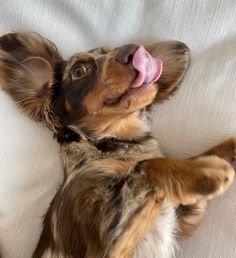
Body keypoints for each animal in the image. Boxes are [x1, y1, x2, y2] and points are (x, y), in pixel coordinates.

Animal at [0, 32, 235, 258]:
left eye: (109, 50)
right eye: (78, 71)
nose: (132, 49)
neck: (109, 146)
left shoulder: (182, 216)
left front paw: (225, 150)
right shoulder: (109, 243)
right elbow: (146, 166)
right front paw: (207, 170)